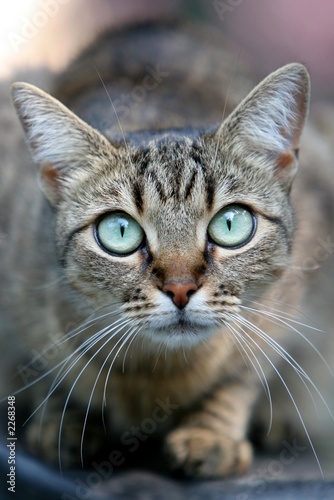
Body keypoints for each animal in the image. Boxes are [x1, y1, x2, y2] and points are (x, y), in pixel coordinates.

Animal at [0, 21, 334, 478]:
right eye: (120, 231)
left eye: (231, 224)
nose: (180, 288)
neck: (157, 372)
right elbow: (44, 366)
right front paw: (61, 417)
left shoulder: (289, 301)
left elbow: (242, 374)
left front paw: (211, 433)